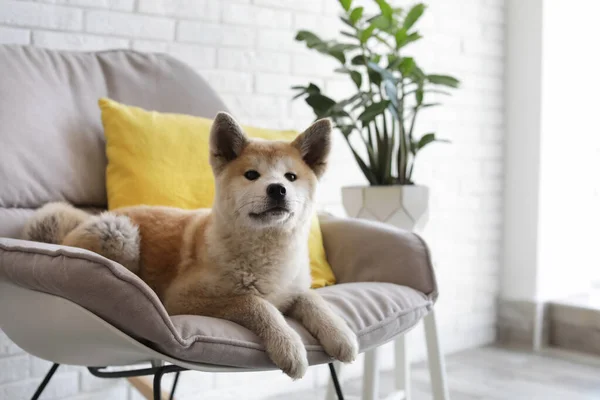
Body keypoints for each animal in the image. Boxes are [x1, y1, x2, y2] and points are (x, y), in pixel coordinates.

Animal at [23, 111, 358, 378]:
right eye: (252, 175)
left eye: (291, 177)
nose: (277, 189)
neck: (265, 254)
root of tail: (81, 221)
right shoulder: (181, 299)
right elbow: (255, 303)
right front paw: (288, 345)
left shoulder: (292, 290)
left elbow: (314, 300)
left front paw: (340, 333)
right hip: (121, 235)